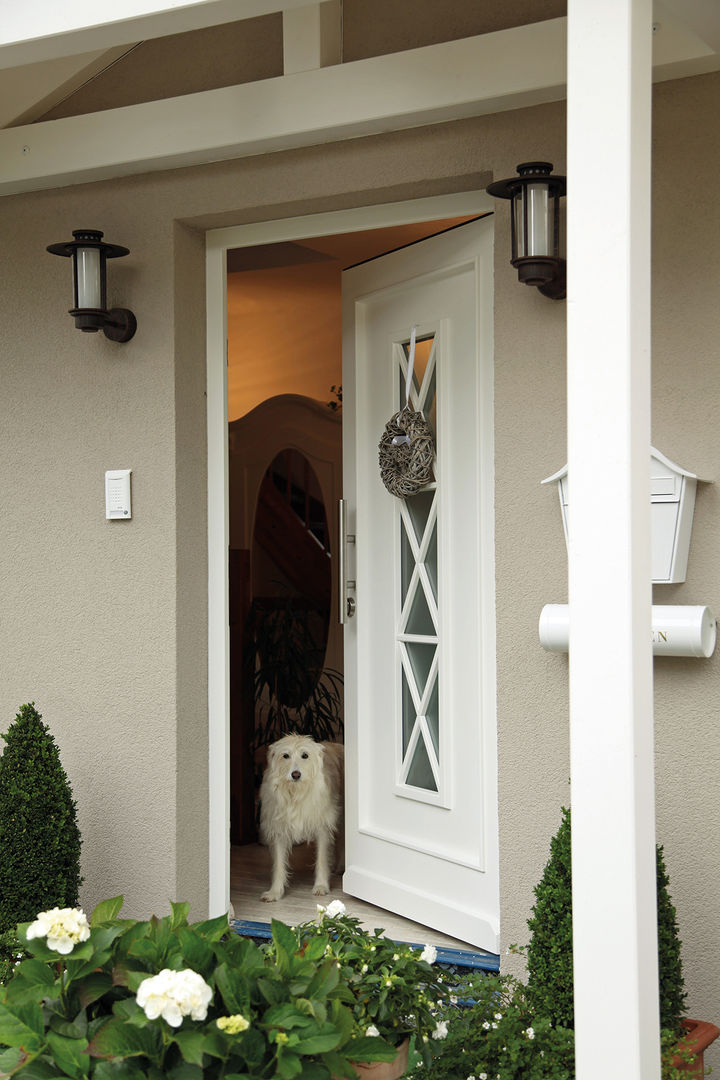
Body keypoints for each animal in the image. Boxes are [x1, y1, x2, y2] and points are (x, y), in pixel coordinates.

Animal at [259, 734, 345, 902]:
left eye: (305, 755)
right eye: (285, 755)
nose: (296, 774)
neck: (295, 792)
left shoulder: (322, 827)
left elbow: (321, 859)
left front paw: (321, 886)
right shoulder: (279, 830)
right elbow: (279, 864)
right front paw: (275, 892)